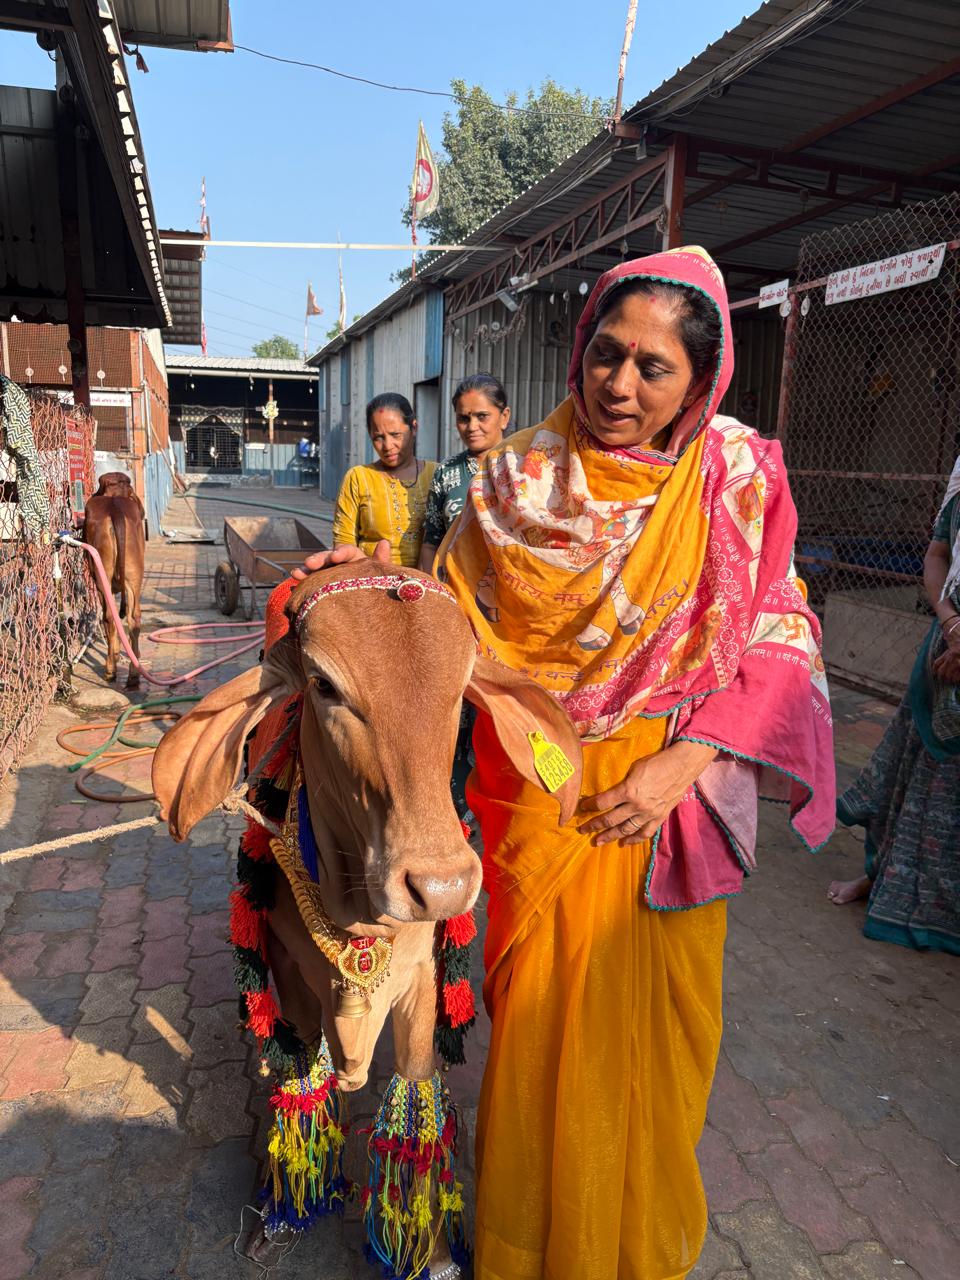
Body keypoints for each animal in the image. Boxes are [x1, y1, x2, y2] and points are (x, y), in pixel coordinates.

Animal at [83, 472, 145, 688]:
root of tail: (115, 508)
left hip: (103, 577)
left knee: (109, 616)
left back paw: (111, 669)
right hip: (134, 577)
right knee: (133, 619)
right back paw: (134, 674)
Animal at [152, 559, 582, 1272]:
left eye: (463, 686)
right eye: (324, 684)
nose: (442, 884)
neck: (357, 919)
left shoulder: (422, 983)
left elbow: (416, 1094)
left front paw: (433, 1252)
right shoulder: (291, 972)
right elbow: (304, 1077)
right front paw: (281, 1209)